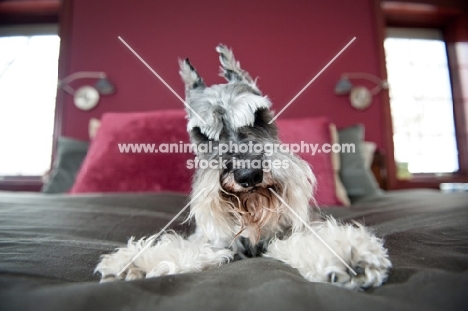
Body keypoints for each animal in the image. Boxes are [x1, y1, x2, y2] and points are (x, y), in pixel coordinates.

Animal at [95, 45, 392, 292]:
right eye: (201, 134)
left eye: (260, 116)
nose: (248, 175)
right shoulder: (213, 240)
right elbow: (185, 247)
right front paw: (134, 263)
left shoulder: (290, 228)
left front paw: (347, 254)